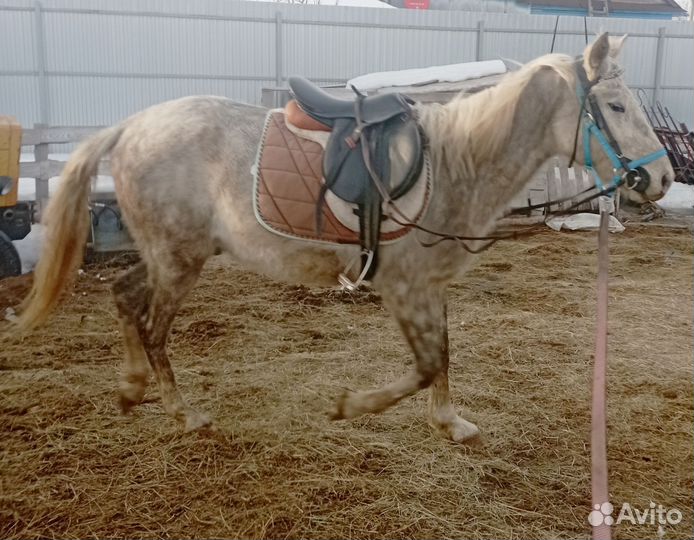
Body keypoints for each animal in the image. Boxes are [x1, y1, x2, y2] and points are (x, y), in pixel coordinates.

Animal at [17, 33, 673, 442]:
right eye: (615, 106)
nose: (662, 178)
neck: (457, 161)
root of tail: (131, 126)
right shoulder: (403, 286)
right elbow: (426, 364)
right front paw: (353, 406)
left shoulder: (429, 285)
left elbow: (444, 355)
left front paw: (449, 423)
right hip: (179, 260)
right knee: (153, 328)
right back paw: (184, 414)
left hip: (171, 253)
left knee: (125, 296)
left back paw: (132, 391)